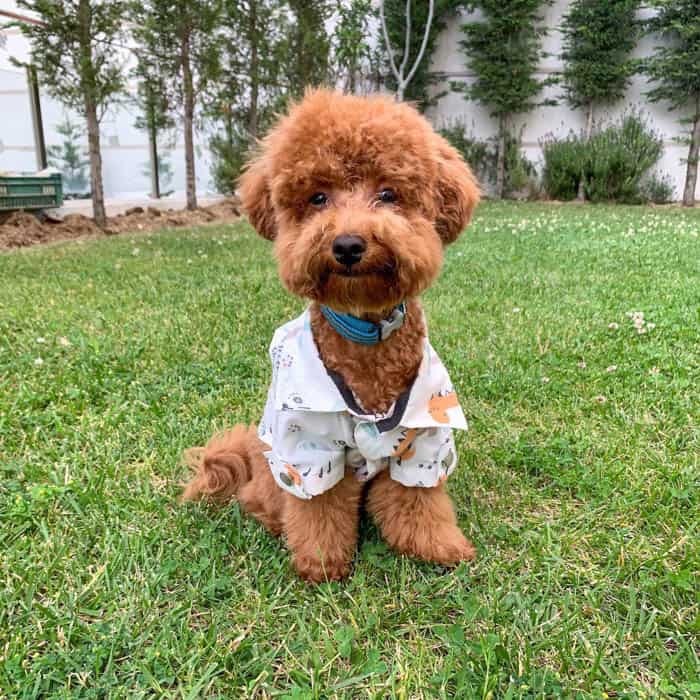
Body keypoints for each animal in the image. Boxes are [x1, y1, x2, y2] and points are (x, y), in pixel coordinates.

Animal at [183, 93, 482, 584]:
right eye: (318, 198)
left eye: (388, 194)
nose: (347, 245)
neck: (364, 333)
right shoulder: (309, 447)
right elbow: (318, 507)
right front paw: (320, 562)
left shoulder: (424, 437)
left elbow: (419, 499)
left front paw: (436, 546)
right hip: (274, 465)